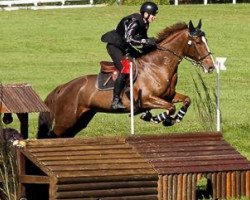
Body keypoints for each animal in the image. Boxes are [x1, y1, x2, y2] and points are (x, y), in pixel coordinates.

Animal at [36, 20, 215, 139]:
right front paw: (155, 118)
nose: (211, 66)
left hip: (80, 120)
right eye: (197, 42)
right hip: (66, 120)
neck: (157, 66)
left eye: (206, 41)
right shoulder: (147, 99)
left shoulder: (168, 96)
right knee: (51, 135)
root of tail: (63, 87)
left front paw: (173, 119)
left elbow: (186, 100)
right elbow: (170, 108)